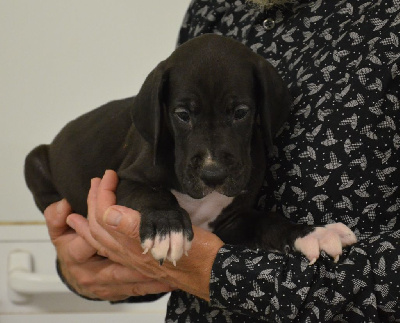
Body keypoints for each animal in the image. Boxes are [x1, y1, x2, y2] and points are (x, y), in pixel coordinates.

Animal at [25, 34, 356, 268]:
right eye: (182, 115)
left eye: (240, 112)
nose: (213, 174)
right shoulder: (126, 179)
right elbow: (154, 195)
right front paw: (167, 228)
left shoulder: (231, 221)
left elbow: (268, 221)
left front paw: (311, 232)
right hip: (35, 159)